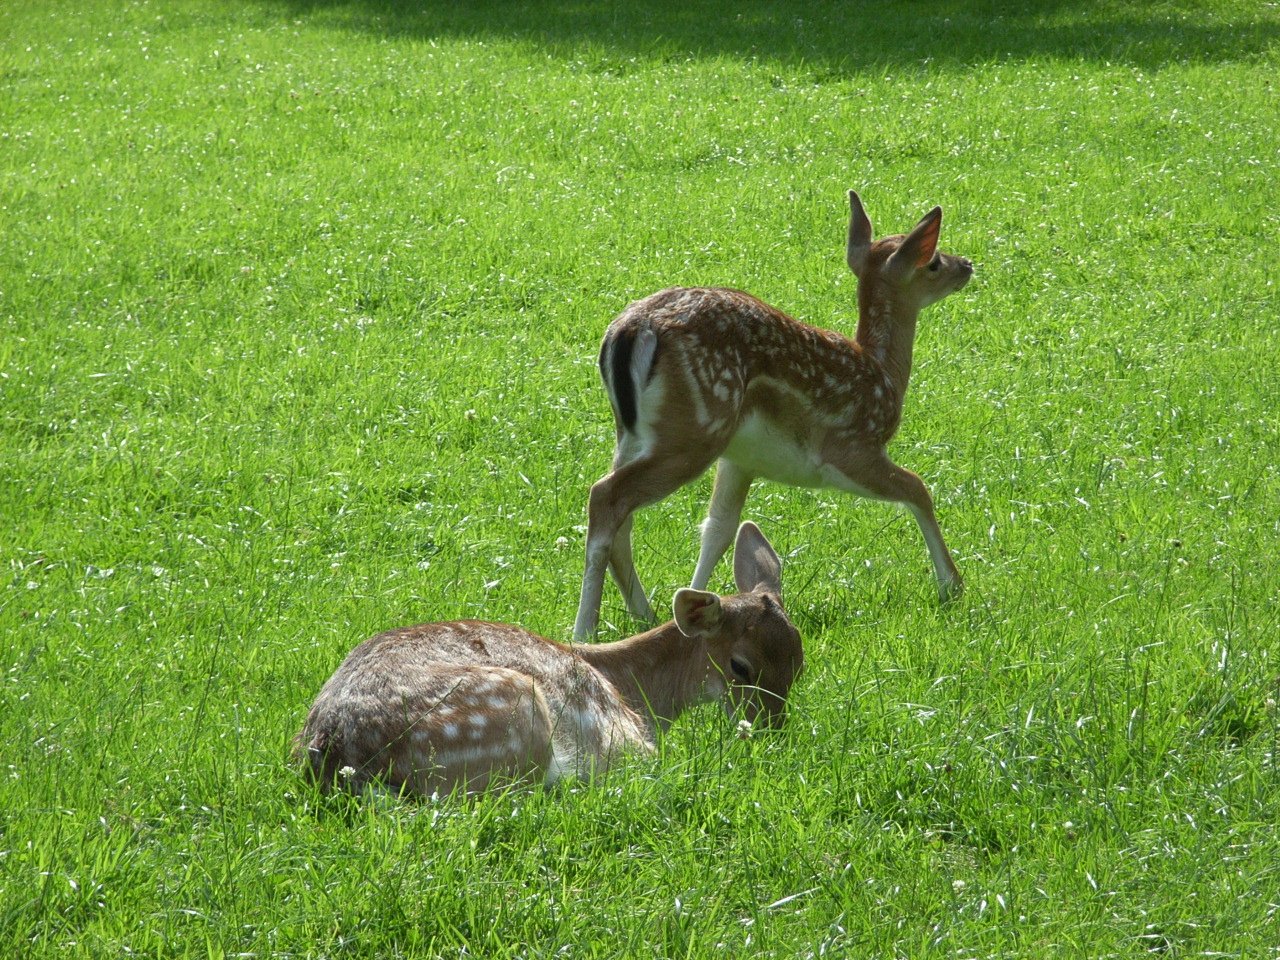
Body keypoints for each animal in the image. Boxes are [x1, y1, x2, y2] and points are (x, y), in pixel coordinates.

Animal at [294, 522, 803, 798]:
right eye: (740, 666)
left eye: (799, 664)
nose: (773, 735)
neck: (634, 691)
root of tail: (338, 760)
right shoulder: (628, 742)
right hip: (512, 714)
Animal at [570, 189, 967, 642]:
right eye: (933, 261)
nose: (967, 265)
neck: (883, 375)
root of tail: (630, 332)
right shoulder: (850, 448)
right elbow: (918, 488)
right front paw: (952, 586)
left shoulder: (741, 460)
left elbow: (718, 528)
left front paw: (695, 606)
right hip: (696, 430)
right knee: (606, 496)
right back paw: (584, 629)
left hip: (639, 434)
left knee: (623, 517)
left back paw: (642, 615)